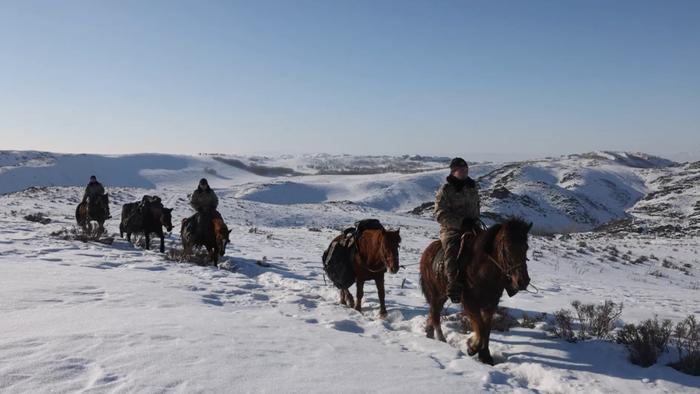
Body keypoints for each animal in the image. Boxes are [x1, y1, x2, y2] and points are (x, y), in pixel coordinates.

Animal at [422, 217, 532, 364]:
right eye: (507, 248)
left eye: (526, 247)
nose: (523, 281)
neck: (483, 271)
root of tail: (427, 251)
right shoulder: (470, 303)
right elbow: (480, 327)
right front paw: (472, 347)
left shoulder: (490, 304)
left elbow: (486, 329)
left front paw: (485, 355)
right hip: (435, 293)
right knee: (435, 315)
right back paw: (441, 340)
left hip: (442, 295)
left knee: (433, 312)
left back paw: (429, 334)